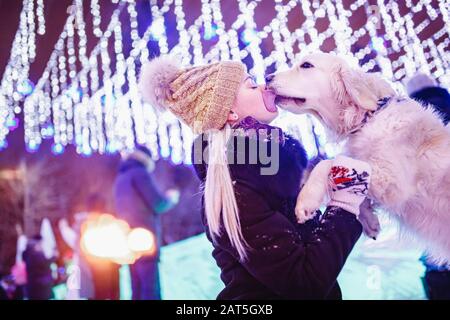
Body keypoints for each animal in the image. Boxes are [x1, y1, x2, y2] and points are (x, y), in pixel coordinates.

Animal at [268, 52, 450, 262]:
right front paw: (368, 219)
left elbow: (326, 163)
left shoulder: (392, 182)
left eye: (306, 65)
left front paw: (307, 200)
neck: (369, 117)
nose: (266, 77)